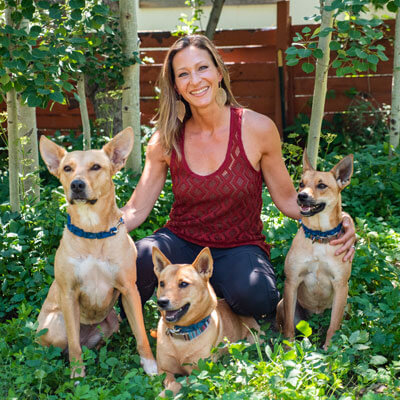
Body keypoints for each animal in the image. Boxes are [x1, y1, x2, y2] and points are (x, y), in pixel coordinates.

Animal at [36, 129, 157, 378]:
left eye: (95, 167)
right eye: (67, 168)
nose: (77, 185)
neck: (93, 233)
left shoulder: (129, 290)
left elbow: (141, 333)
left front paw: (150, 365)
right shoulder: (69, 294)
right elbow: (73, 345)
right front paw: (77, 375)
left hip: (112, 320)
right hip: (55, 325)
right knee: (62, 347)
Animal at [151, 245, 260, 396]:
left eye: (183, 284)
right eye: (161, 283)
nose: (161, 302)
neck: (181, 335)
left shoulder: (198, 373)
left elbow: (178, 384)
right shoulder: (164, 370)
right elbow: (171, 381)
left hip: (252, 339)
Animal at [276, 152, 354, 350]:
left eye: (322, 185)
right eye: (301, 183)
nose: (301, 196)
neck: (319, 238)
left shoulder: (341, 285)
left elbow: (333, 325)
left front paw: (330, 349)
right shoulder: (292, 282)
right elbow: (289, 325)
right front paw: (288, 348)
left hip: (346, 302)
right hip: (283, 303)